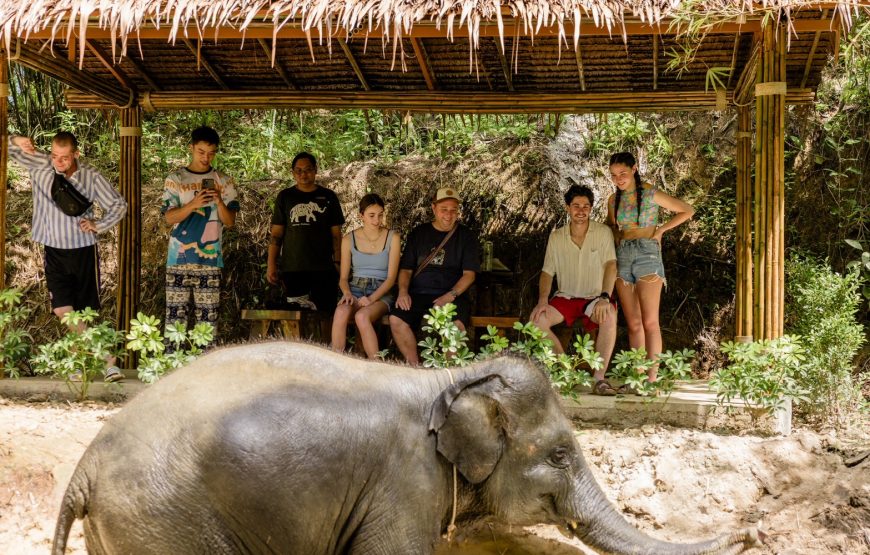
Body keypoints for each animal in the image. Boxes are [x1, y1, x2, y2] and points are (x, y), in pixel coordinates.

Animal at [53, 342, 761, 554]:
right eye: (561, 455)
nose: (752, 531)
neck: (449, 382)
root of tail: (83, 465)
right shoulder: (404, 484)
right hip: (164, 519)